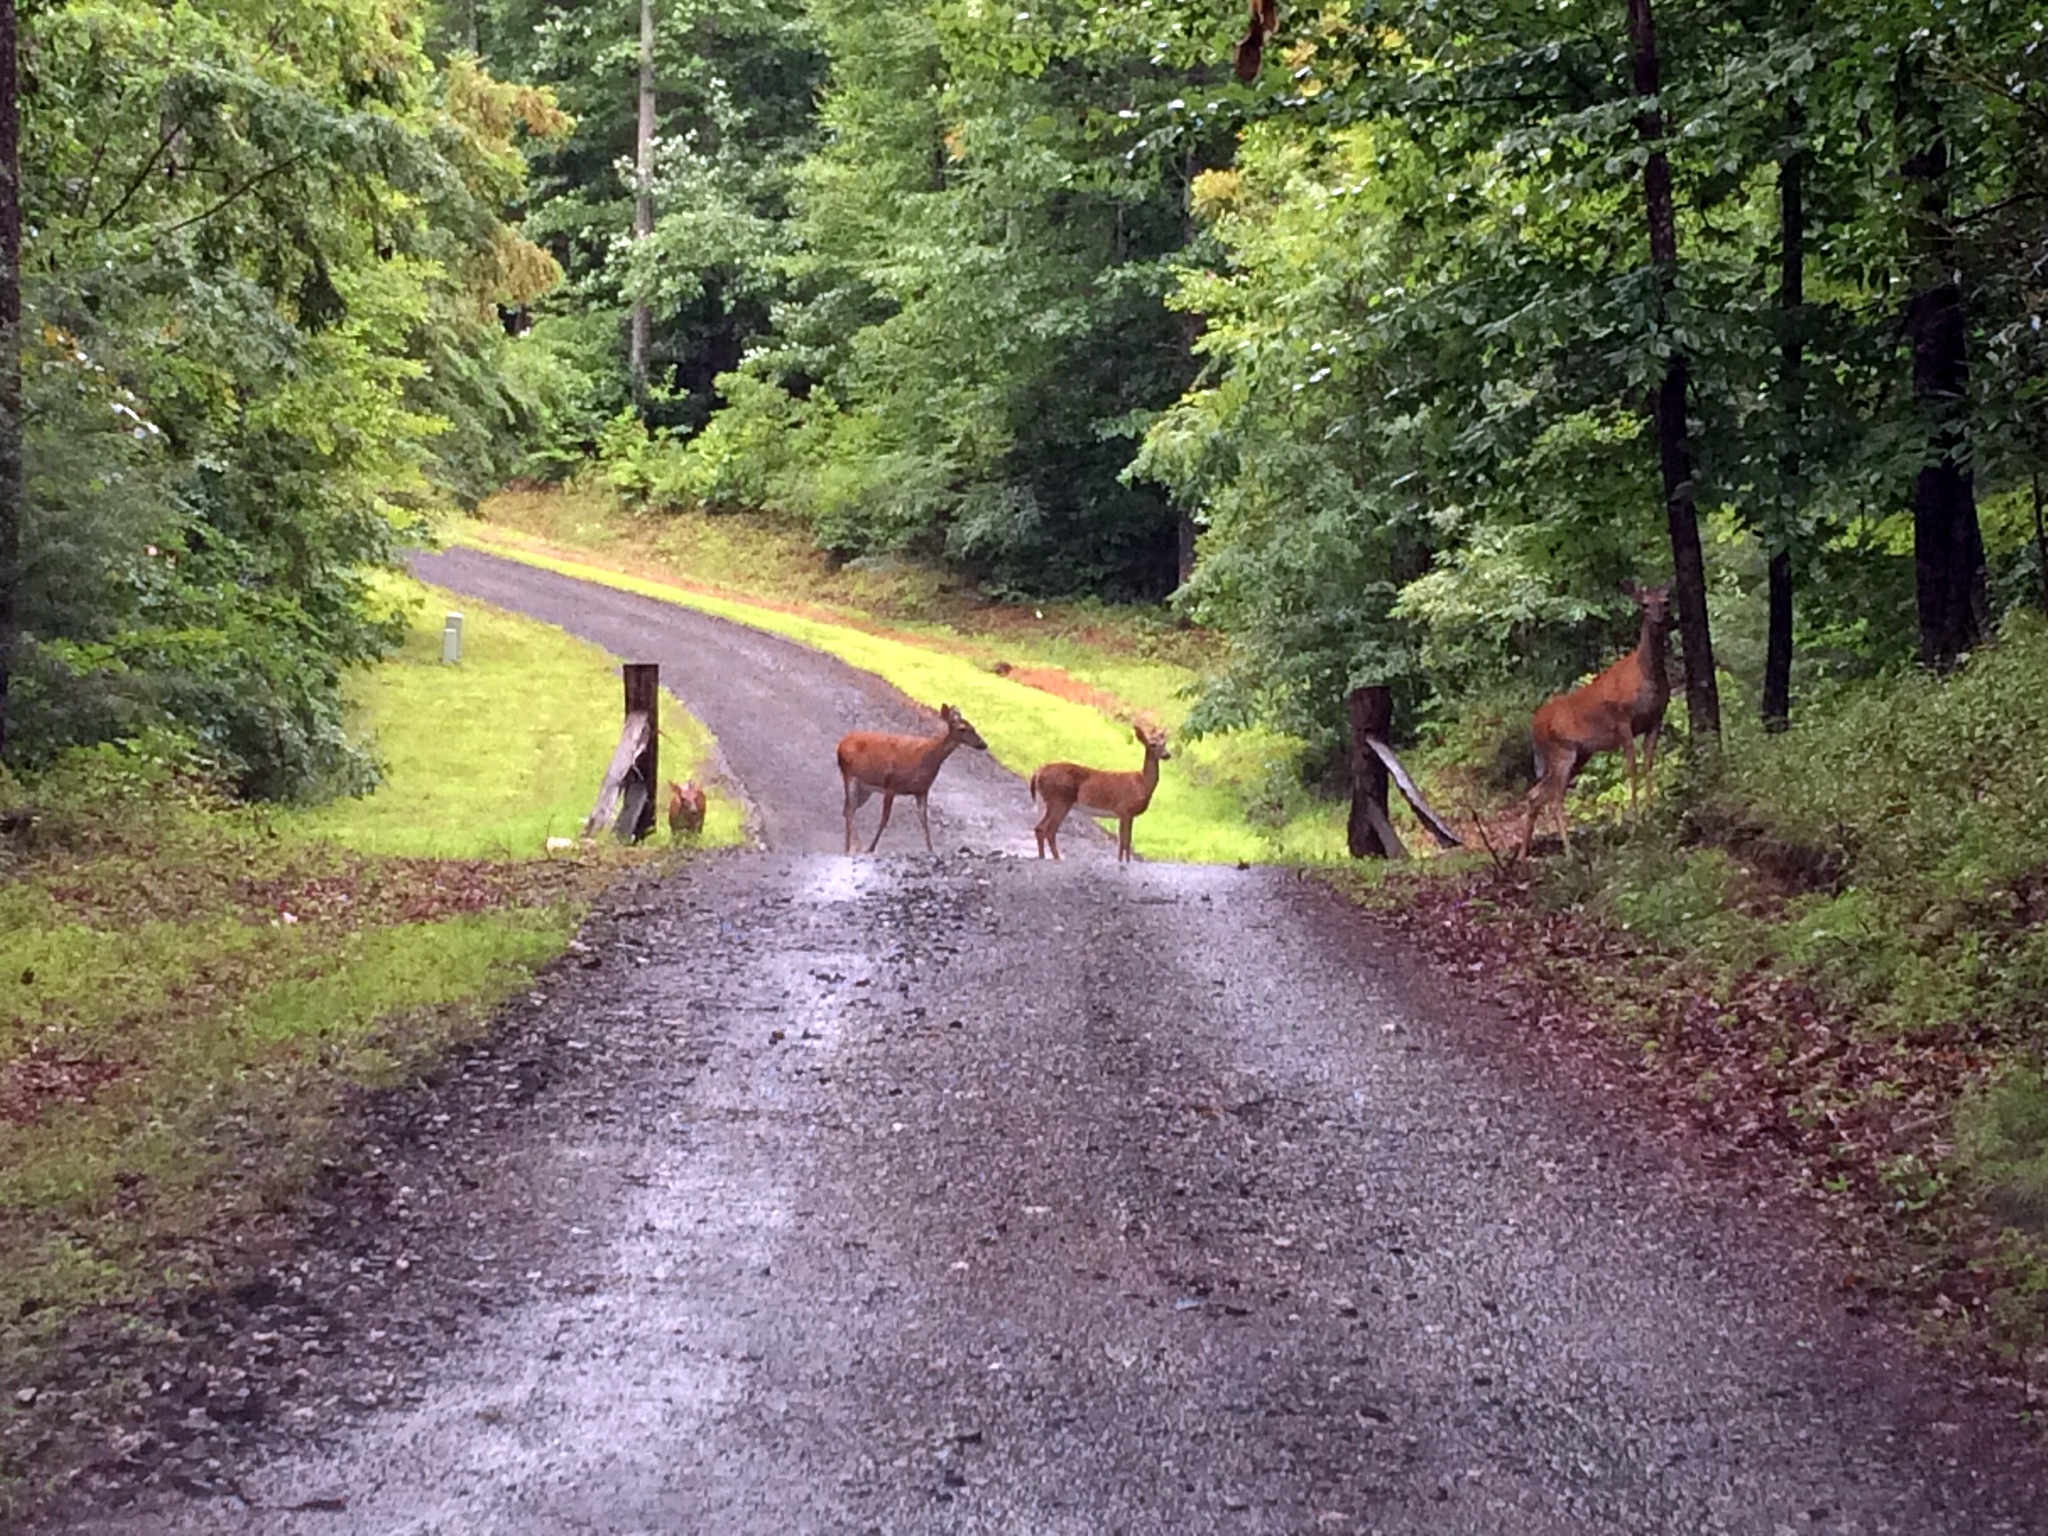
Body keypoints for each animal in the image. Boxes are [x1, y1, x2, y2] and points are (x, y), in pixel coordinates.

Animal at [835, 704, 988, 855]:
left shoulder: (922, 791)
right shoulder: (892, 785)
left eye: (974, 727)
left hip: (865, 789)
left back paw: (847, 847)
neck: (927, 759)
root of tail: (841, 743)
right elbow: (884, 820)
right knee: (849, 810)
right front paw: (870, 849)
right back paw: (855, 846)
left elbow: (924, 822)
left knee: (847, 809)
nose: (983, 744)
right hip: (849, 775)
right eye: (962, 729)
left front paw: (930, 850)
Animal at [1029, 723, 1171, 863]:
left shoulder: (1127, 815)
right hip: (1060, 800)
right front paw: (1123, 862)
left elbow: (1125, 840)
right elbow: (1124, 840)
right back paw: (1057, 858)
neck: (1142, 783)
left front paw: (1123, 861)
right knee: (1049, 829)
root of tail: (1037, 773)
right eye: (1152, 744)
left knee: (1039, 828)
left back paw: (1042, 857)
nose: (1167, 755)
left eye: (1165, 743)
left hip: (1048, 801)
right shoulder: (1125, 809)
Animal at [1520, 583, 1672, 860]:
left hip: (1578, 755)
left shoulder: (1655, 720)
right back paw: (1569, 852)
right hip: (1561, 751)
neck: (1646, 675)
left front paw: (1651, 813)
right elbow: (1632, 768)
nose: (1659, 620)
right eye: (1644, 605)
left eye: (1666, 601)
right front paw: (1635, 822)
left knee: (1536, 794)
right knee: (1554, 797)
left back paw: (1523, 854)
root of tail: (1534, 724)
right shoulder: (1623, 721)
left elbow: (1647, 765)